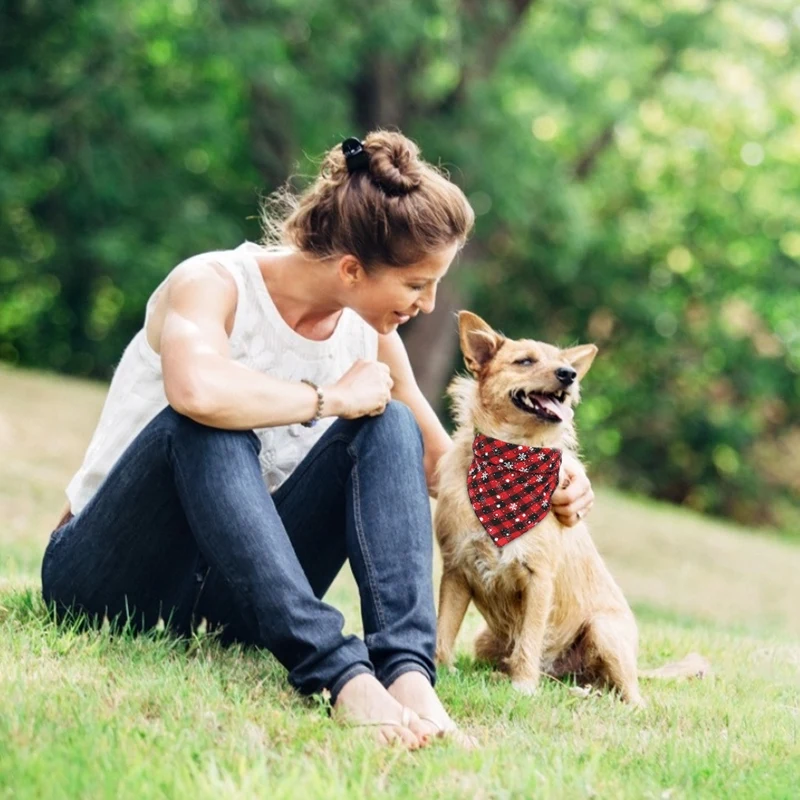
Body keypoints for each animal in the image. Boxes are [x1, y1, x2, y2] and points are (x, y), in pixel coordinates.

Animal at [434, 310, 708, 704]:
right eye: (525, 361)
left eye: (563, 364)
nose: (569, 374)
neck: (511, 461)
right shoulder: (457, 569)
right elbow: (444, 629)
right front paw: (440, 670)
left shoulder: (539, 578)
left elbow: (530, 639)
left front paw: (523, 687)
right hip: (486, 640)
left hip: (603, 631)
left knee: (630, 695)